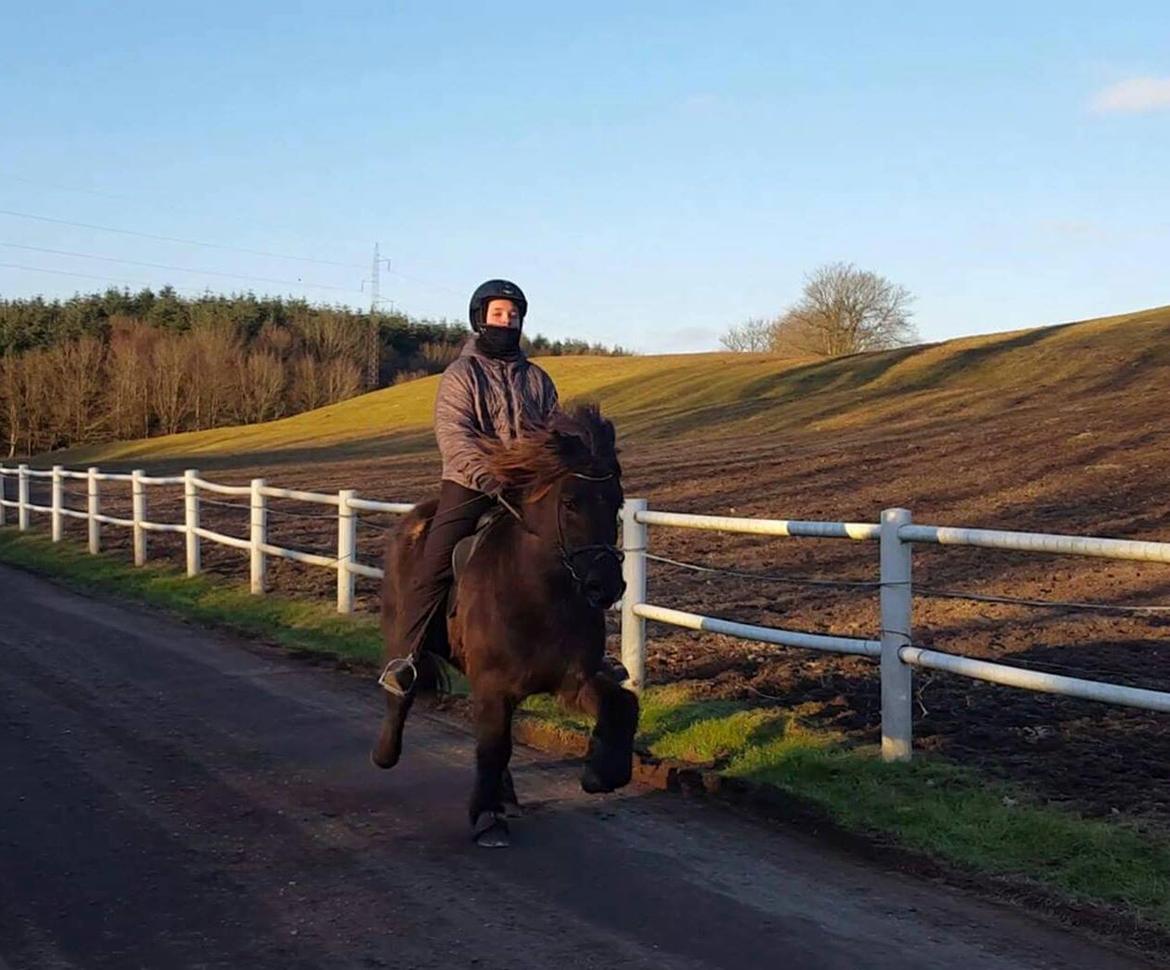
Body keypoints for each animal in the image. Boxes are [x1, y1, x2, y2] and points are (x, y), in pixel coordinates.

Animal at [369, 397, 641, 842]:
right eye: (570, 503)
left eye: (617, 502)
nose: (606, 586)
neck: (542, 595)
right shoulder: (493, 686)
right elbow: (493, 746)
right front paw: (485, 816)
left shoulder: (571, 679)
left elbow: (622, 703)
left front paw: (603, 773)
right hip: (402, 634)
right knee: (400, 692)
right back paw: (385, 753)